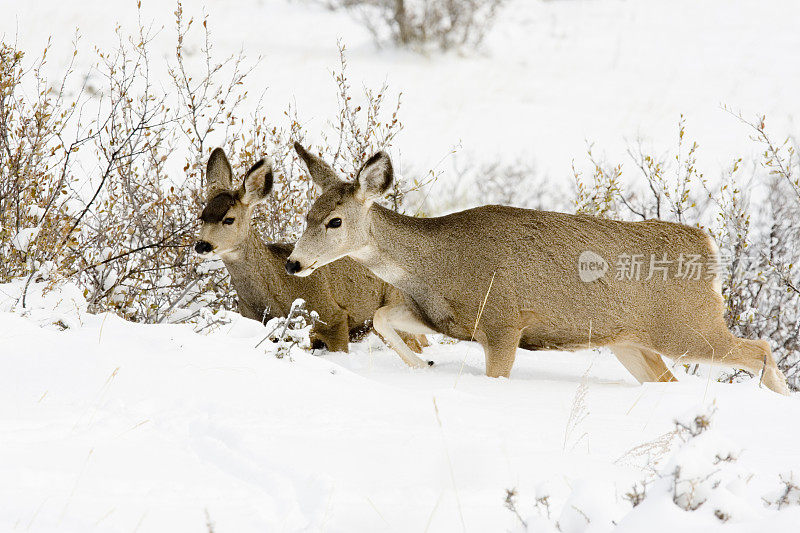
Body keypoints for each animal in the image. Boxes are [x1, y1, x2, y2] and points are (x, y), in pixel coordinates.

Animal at [284, 142, 792, 394]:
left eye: (334, 221)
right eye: (307, 214)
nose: (293, 262)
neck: (437, 265)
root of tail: (709, 246)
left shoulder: (503, 321)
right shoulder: (443, 316)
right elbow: (381, 317)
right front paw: (423, 364)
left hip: (687, 327)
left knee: (762, 350)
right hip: (631, 342)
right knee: (670, 380)